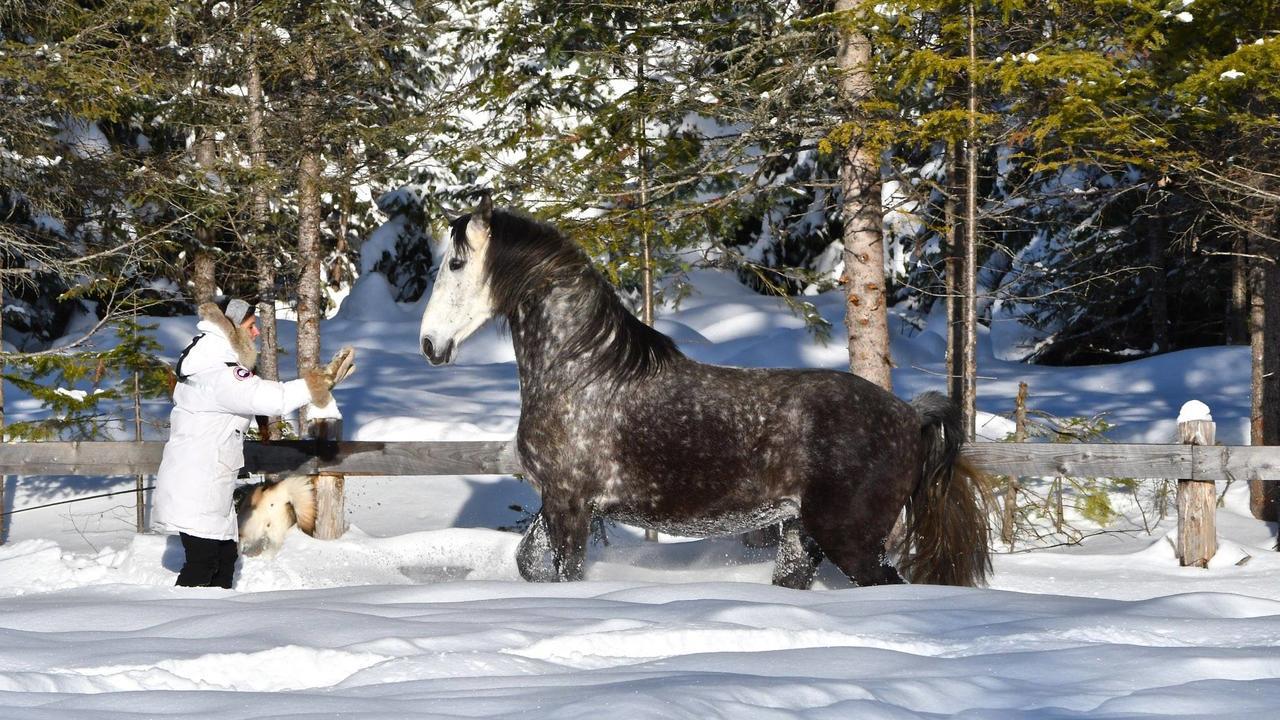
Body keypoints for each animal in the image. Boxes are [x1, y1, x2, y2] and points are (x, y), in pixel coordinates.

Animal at [417, 193, 988, 586]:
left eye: (456, 263)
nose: (429, 344)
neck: (581, 372)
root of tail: (910, 416)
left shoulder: (569, 503)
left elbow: (562, 572)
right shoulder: (559, 504)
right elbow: (527, 563)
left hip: (850, 540)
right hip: (801, 536)